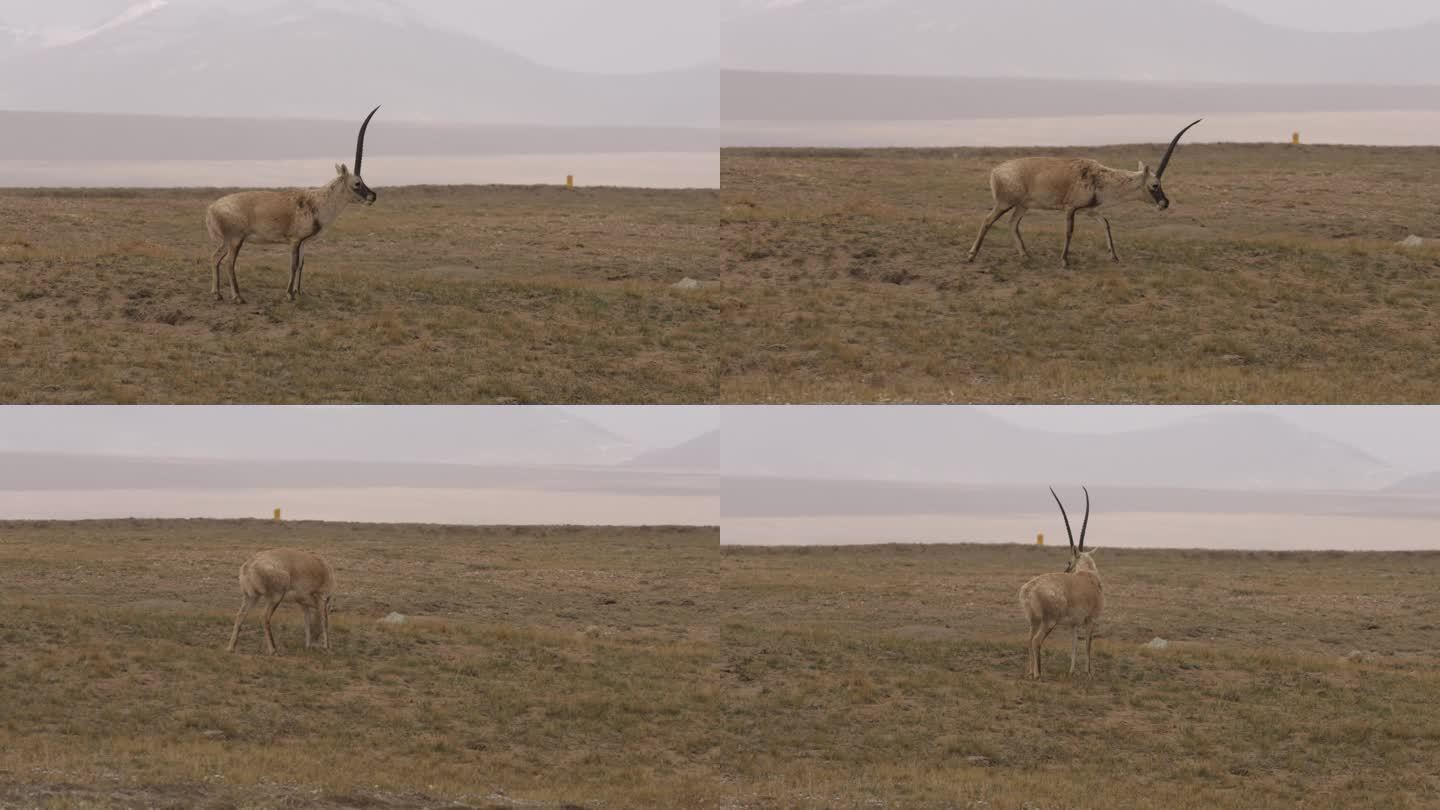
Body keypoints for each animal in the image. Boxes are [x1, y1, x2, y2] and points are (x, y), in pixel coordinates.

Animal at [207, 103, 383, 299]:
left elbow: (301, 264)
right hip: (236, 240)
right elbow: (293, 264)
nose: (373, 196)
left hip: (227, 241)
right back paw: (237, 297)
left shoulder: (304, 242)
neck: (317, 202)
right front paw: (289, 294)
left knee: (215, 258)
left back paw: (217, 293)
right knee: (229, 262)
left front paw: (299, 291)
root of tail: (211, 209)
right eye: (357, 183)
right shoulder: (295, 240)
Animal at [967, 118, 1203, 268]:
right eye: (1155, 185)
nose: (1165, 203)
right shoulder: (1071, 209)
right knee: (988, 220)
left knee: (1012, 224)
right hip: (1004, 203)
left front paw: (1114, 257)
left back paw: (1026, 255)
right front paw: (1064, 261)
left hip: (1022, 206)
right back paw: (971, 256)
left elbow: (1106, 223)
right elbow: (1069, 231)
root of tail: (995, 171)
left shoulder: (1090, 210)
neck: (1099, 177)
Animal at [1019, 490, 1105, 677]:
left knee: (1028, 639)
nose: (1066, 570)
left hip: (1034, 621)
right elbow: (1087, 645)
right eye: (1069, 560)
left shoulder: (1074, 624)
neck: (1089, 575)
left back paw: (1030, 672)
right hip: (1049, 621)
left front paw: (1071, 671)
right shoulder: (1090, 620)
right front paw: (1089, 673)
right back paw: (1037, 674)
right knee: (1036, 641)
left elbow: (1074, 645)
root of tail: (1028, 590)